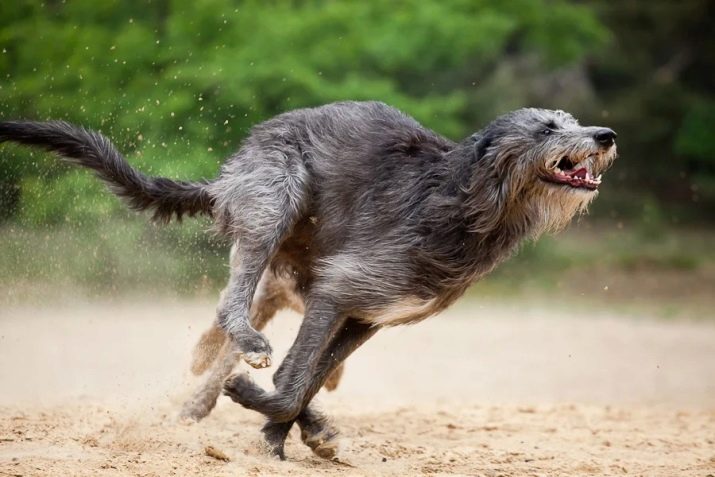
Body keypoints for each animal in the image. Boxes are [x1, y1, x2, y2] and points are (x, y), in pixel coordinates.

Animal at [0, 99, 616, 458]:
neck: (461, 201)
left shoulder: (366, 314)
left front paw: (282, 435)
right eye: (546, 128)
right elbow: (292, 378)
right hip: (273, 198)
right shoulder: (340, 290)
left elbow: (307, 381)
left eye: (573, 122)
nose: (606, 134)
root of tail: (228, 172)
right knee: (233, 305)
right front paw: (267, 421)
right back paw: (246, 353)